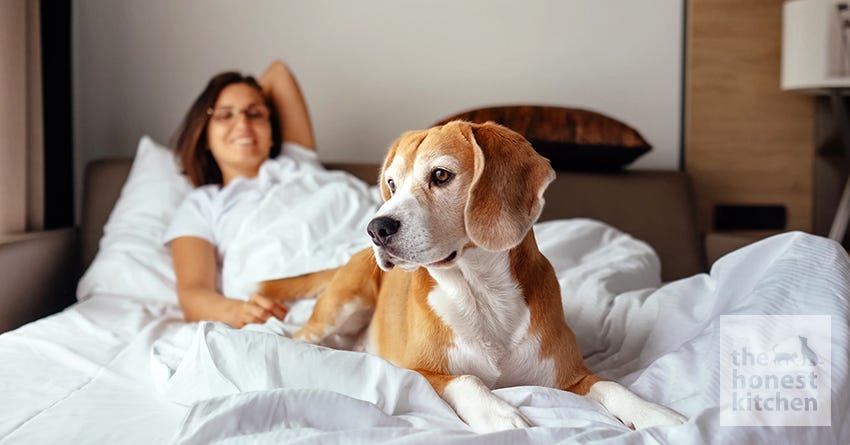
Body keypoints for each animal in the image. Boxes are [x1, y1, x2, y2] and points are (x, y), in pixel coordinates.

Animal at [262, 119, 684, 432]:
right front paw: (499, 413)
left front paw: (654, 413)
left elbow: (613, 386)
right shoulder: (418, 371)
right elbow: (467, 379)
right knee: (297, 337)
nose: (375, 229)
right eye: (392, 184)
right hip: (342, 306)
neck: (481, 292)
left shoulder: (572, 377)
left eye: (440, 175)